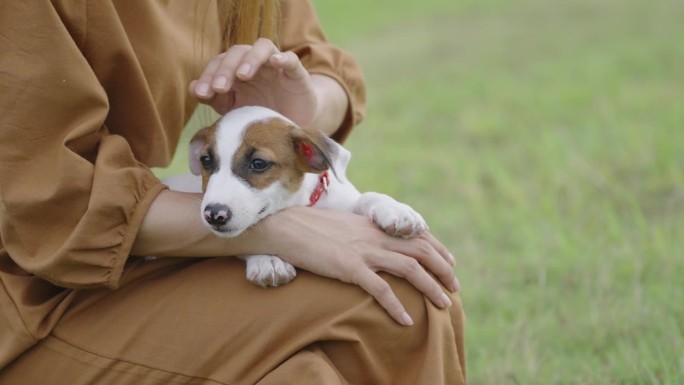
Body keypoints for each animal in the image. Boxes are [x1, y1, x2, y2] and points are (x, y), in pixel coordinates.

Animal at [166, 106, 428, 286]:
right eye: (206, 160)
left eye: (258, 163)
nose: (214, 215)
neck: (303, 203)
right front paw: (267, 260)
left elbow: (367, 197)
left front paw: (396, 210)